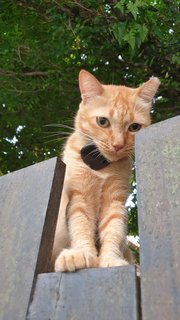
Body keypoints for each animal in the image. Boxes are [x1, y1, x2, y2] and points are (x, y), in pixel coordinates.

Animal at [51, 69, 160, 272]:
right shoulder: (79, 196)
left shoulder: (115, 201)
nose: (118, 145)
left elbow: (113, 231)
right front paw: (80, 254)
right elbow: (81, 225)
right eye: (102, 122)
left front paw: (110, 259)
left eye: (134, 127)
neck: (100, 165)